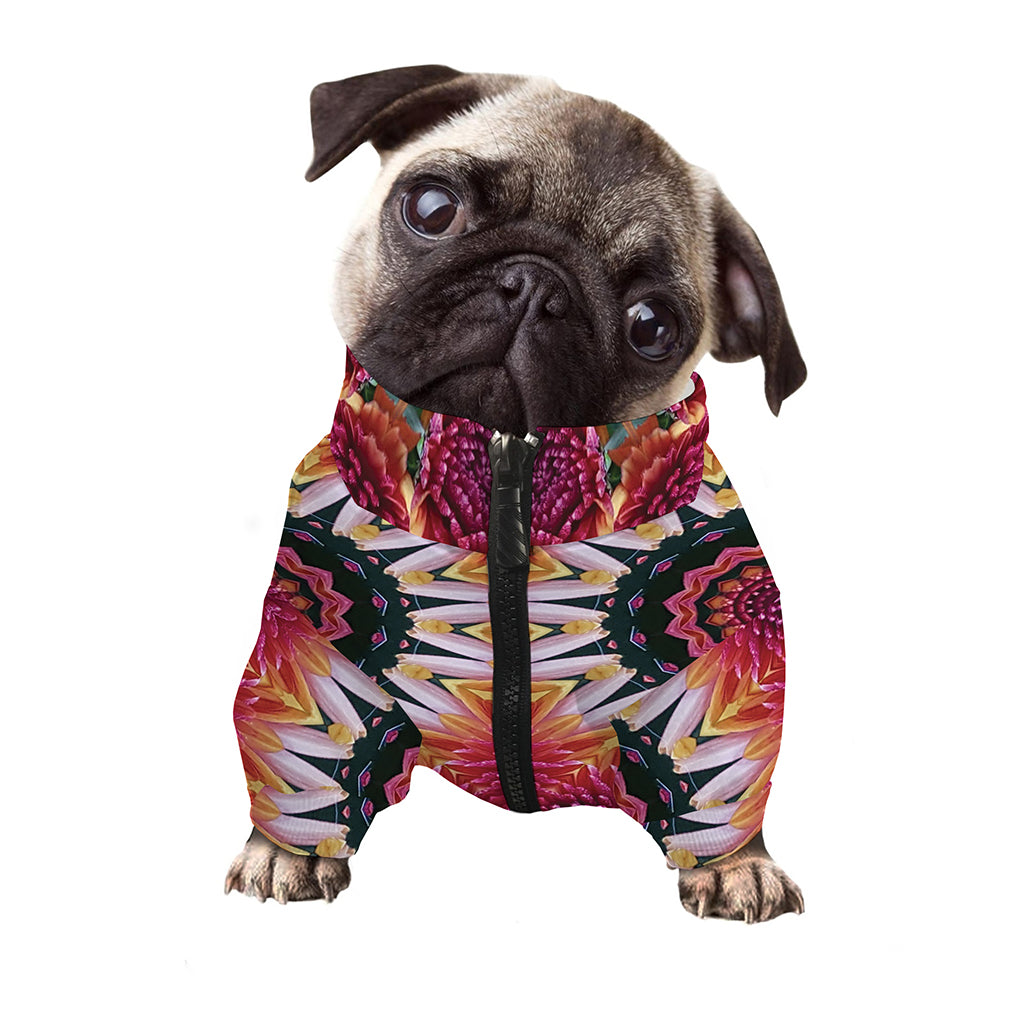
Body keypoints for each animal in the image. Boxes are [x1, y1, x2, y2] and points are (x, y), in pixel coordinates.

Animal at [224, 65, 806, 922]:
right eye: (432, 208)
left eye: (651, 325)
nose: (536, 284)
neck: (506, 481)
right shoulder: (310, 658)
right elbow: (302, 752)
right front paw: (285, 852)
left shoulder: (722, 675)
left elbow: (719, 774)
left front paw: (738, 866)